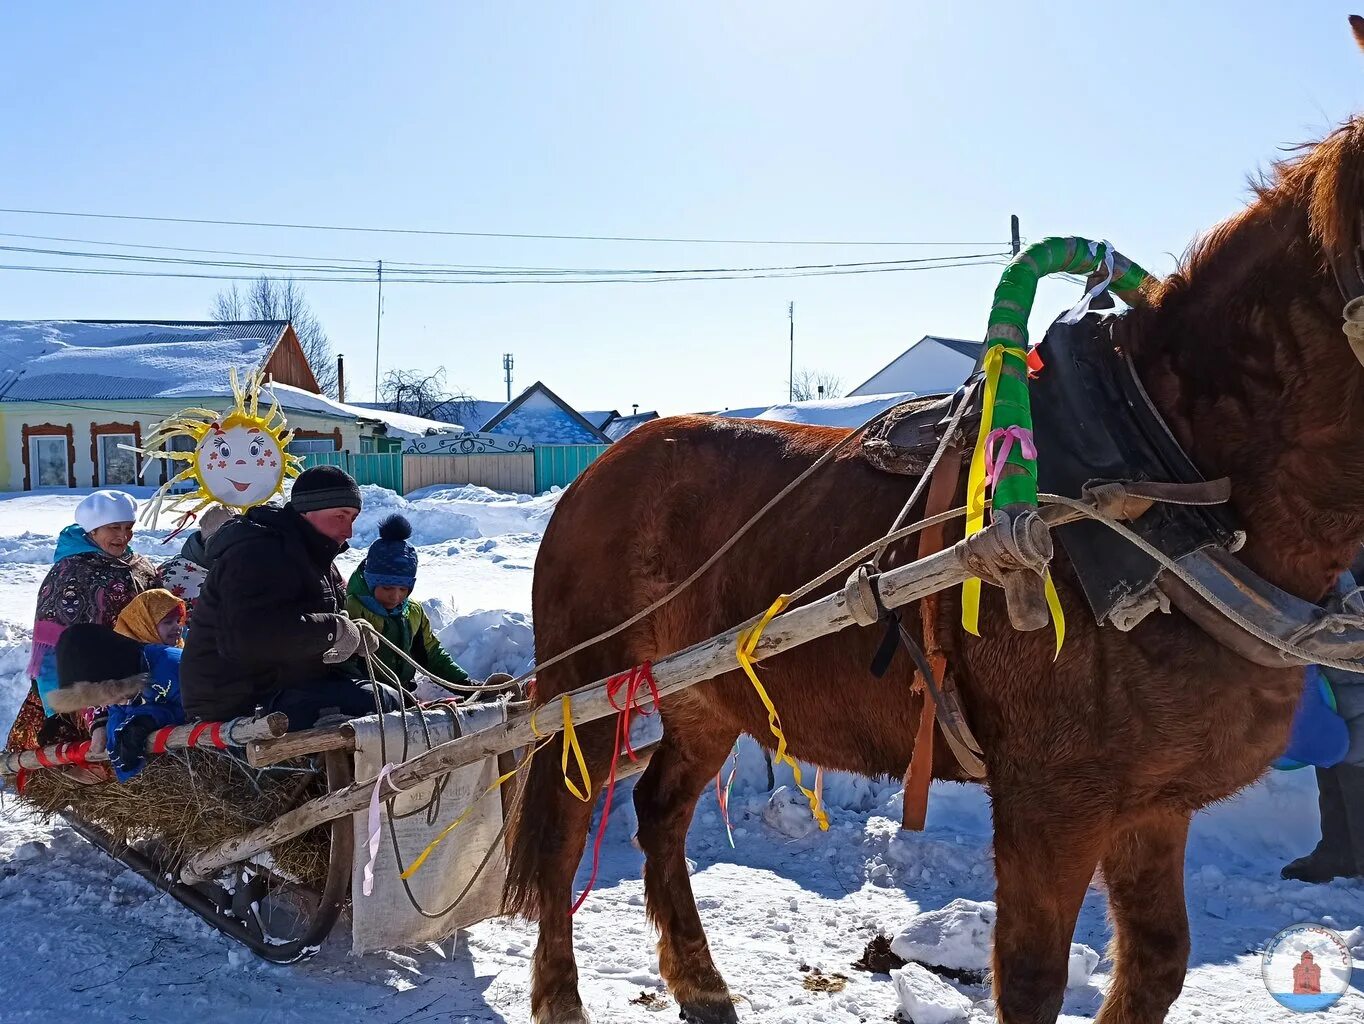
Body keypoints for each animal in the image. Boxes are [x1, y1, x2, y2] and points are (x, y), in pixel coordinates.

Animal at [504, 18, 1364, 1024]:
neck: (1157, 481)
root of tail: (604, 464)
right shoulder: (1051, 803)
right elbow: (1030, 980)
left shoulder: (1157, 802)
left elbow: (1157, 962)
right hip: (586, 687)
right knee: (566, 829)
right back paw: (561, 995)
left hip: (708, 692)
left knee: (660, 814)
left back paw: (702, 982)